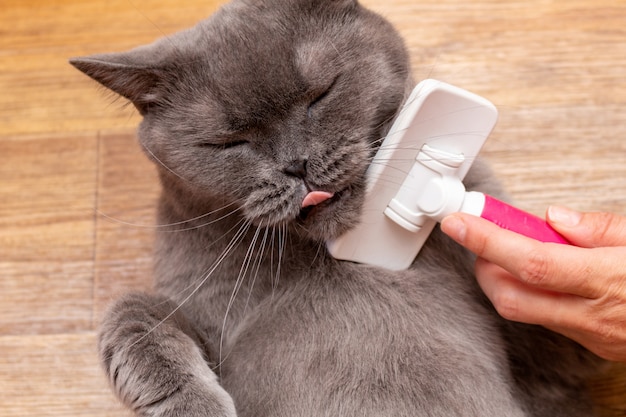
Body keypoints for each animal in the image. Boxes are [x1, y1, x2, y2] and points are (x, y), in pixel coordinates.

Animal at [70, 0, 604, 416]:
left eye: (320, 95)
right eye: (228, 142)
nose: (296, 165)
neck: (329, 252)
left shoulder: (554, 374)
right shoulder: (198, 309)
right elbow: (132, 312)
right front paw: (198, 408)